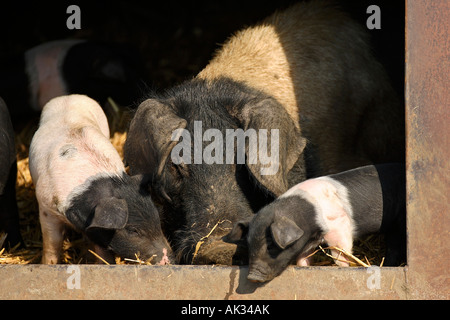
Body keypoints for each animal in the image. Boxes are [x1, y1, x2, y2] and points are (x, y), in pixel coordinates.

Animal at [227, 164, 406, 282]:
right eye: (249, 245)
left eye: (270, 245)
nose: (252, 277)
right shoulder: (309, 239)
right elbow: (303, 258)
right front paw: (304, 266)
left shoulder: (339, 224)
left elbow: (341, 251)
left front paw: (344, 266)